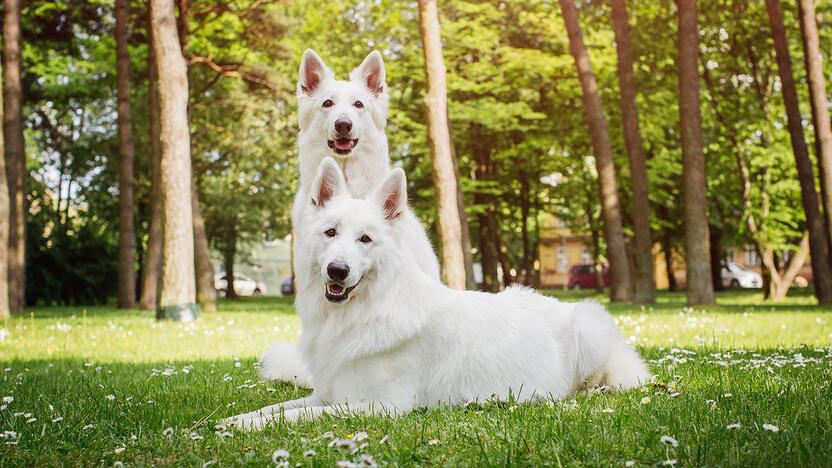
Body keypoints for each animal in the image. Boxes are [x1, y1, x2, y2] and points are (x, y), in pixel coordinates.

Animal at [226, 159, 648, 430]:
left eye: (365, 239)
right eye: (331, 232)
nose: (337, 271)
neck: (365, 313)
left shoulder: (382, 406)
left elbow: (300, 415)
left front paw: (245, 427)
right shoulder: (329, 393)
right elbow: (277, 407)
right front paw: (238, 419)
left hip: (589, 326)